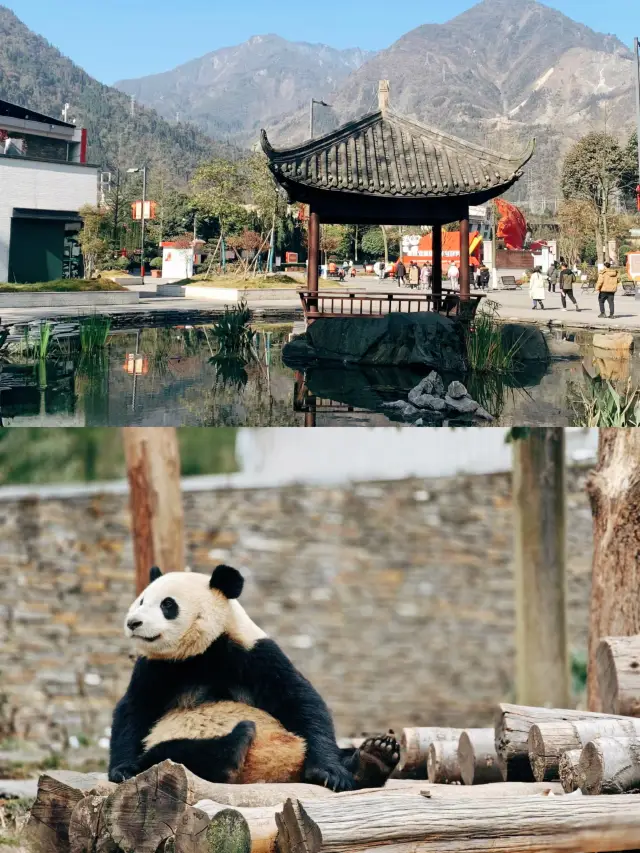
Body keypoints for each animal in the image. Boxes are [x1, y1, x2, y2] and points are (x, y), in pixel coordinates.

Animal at [109, 564, 400, 792]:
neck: (200, 651)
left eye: (167, 604)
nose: (133, 623)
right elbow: (134, 710)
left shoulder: (254, 654)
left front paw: (330, 772)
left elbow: (301, 700)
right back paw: (232, 746)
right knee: (169, 754)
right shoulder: (157, 667)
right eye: (142, 600)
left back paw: (373, 758)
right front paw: (122, 769)